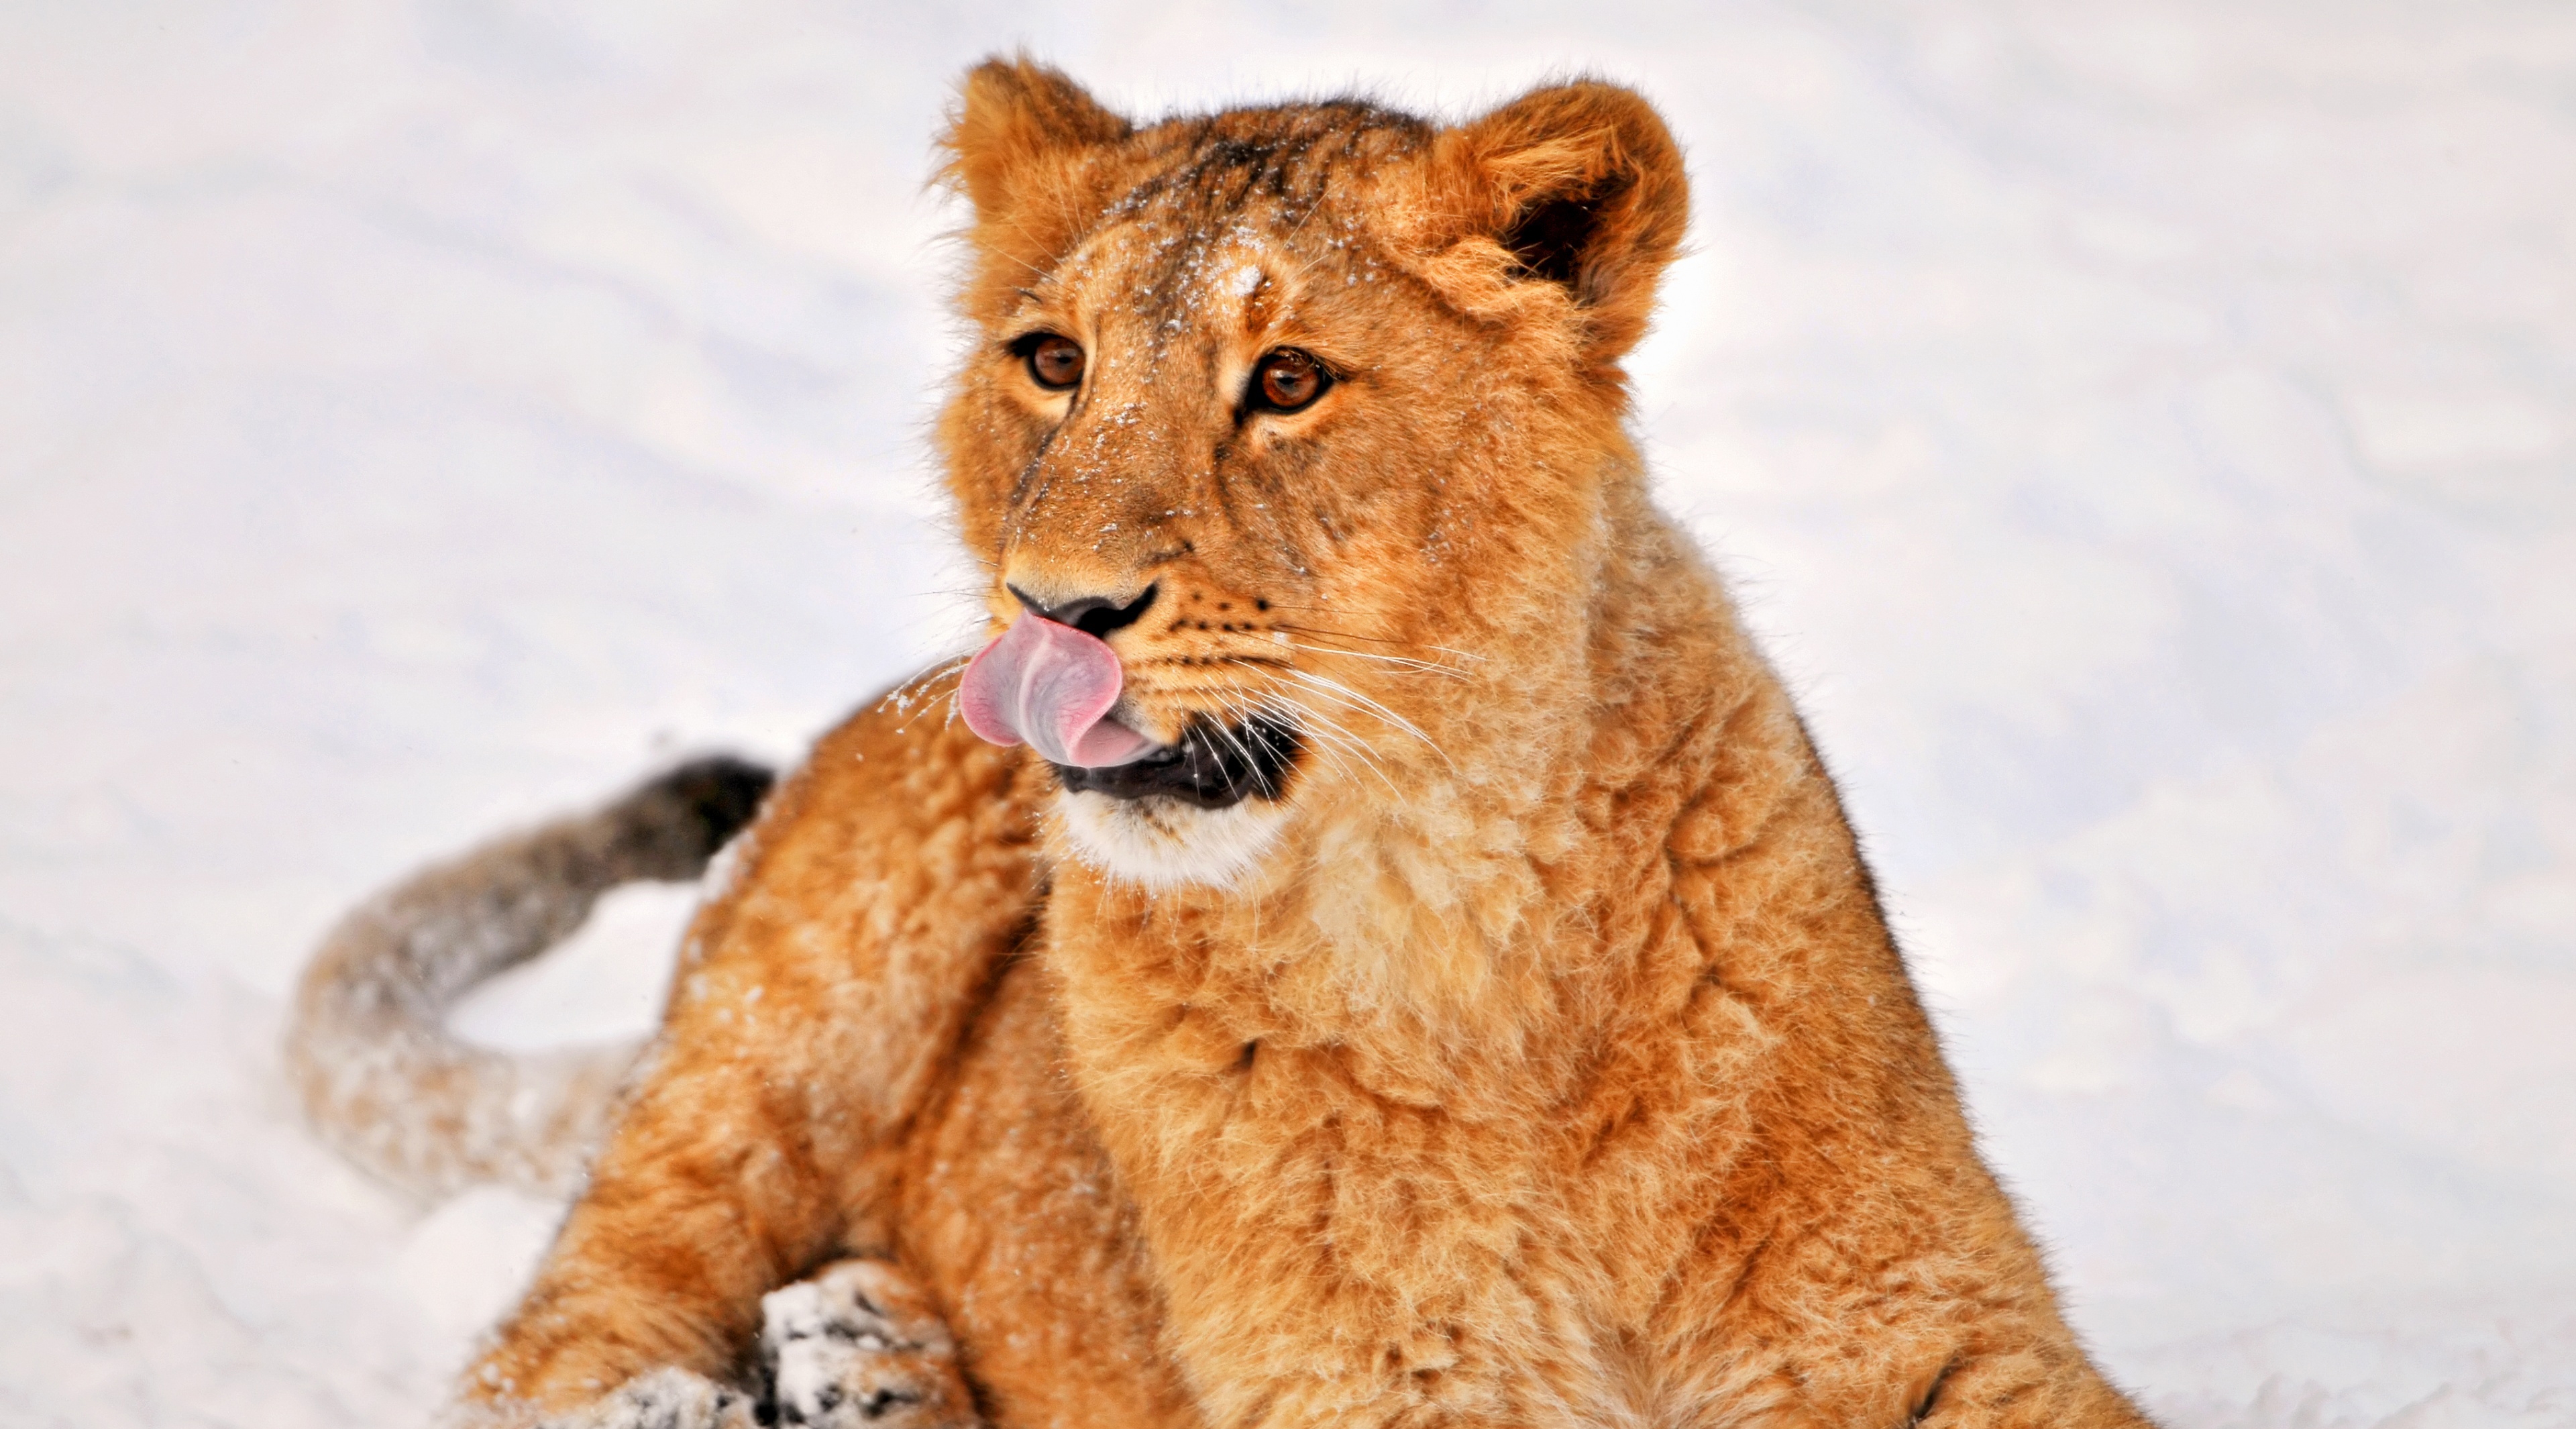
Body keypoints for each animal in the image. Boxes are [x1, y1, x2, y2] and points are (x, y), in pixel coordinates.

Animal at [289, 58, 2155, 1429]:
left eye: (1289, 381)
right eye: (1052, 362)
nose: (1055, 611)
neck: (1463, 919)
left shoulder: (1936, 1332)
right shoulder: (1385, 1384)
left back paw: (863, 1354)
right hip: (780, 1029)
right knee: (552, 1337)